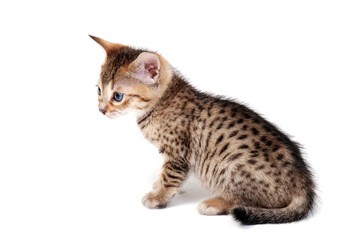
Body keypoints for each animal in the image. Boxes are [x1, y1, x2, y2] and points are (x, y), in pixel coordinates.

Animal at [89, 35, 316, 225]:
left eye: (118, 96)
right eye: (98, 90)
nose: (101, 110)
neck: (162, 101)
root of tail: (304, 184)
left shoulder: (178, 152)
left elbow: (170, 176)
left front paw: (159, 197)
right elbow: (167, 173)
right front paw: (159, 184)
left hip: (231, 166)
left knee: (251, 201)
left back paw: (215, 204)